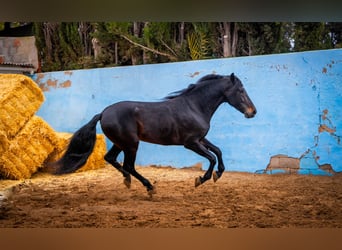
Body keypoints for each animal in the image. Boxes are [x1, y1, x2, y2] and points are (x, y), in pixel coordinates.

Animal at [52, 73, 256, 196]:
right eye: (240, 91)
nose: (252, 112)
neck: (194, 107)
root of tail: (103, 113)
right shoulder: (191, 143)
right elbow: (212, 157)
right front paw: (201, 179)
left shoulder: (200, 139)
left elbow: (218, 151)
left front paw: (218, 174)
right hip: (131, 144)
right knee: (129, 165)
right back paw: (149, 187)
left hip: (121, 143)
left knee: (111, 158)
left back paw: (127, 180)